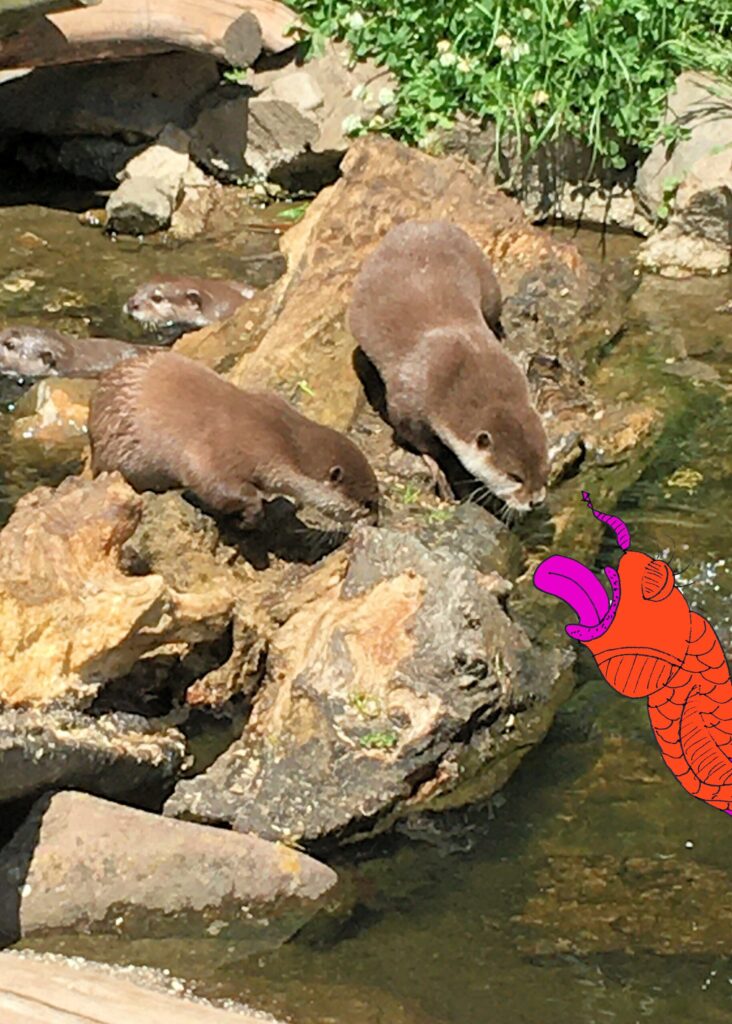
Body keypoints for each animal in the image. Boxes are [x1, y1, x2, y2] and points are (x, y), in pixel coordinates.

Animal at [88, 350, 380, 529]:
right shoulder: (224, 449)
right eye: (368, 503)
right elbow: (209, 480)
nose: (376, 520)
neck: (279, 434)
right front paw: (249, 517)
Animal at [347, 220, 549, 512]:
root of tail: (419, 224)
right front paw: (439, 471)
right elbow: (418, 441)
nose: (535, 502)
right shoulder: (407, 405)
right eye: (514, 477)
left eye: (544, 469)